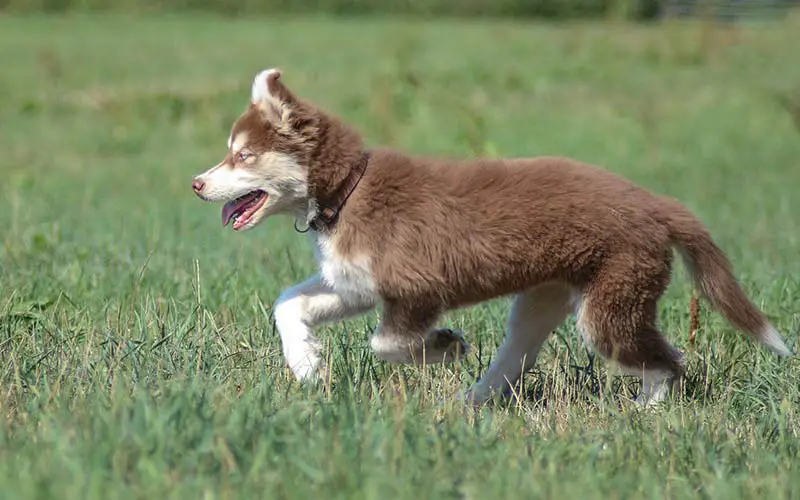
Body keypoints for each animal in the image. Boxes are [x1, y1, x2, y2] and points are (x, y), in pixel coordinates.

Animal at [191, 69, 792, 406]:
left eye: (243, 155)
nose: (197, 183)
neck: (347, 191)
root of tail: (657, 204)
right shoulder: (356, 281)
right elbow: (289, 302)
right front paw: (307, 364)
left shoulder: (415, 285)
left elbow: (387, 343)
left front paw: (444, 346)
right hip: (545, 297)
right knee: (517, 355)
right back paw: (471, 402)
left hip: (613, 298)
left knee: (666, 361)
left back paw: (645, 414)